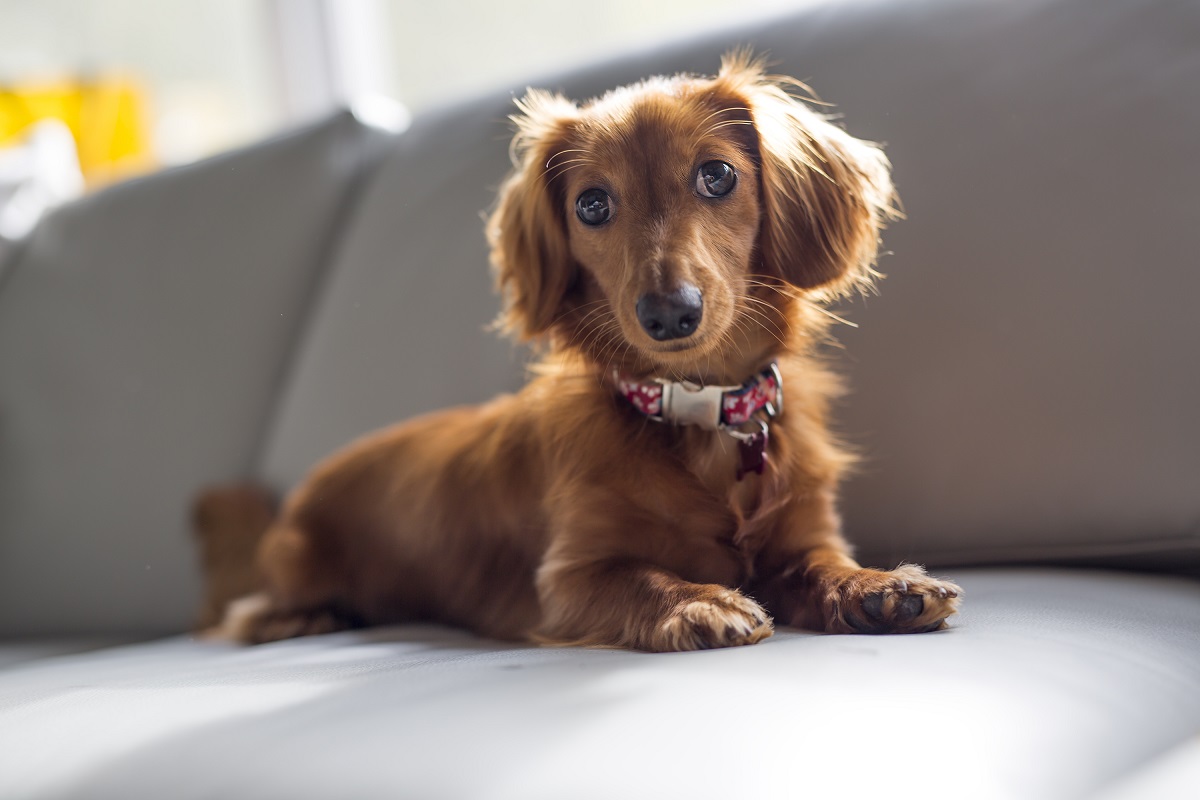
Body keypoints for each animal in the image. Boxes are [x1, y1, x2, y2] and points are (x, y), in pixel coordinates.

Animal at [211, 50, 960, 652]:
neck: (699, 411)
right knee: (245, 612)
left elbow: (823, 566)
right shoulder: (568, 579)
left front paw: (879, 586)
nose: (669, 313)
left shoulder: (804, 535)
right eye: (593, 205)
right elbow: (640, 577)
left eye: (717, 176)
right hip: (295, 568)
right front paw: (696, 601)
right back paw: (298, 617)